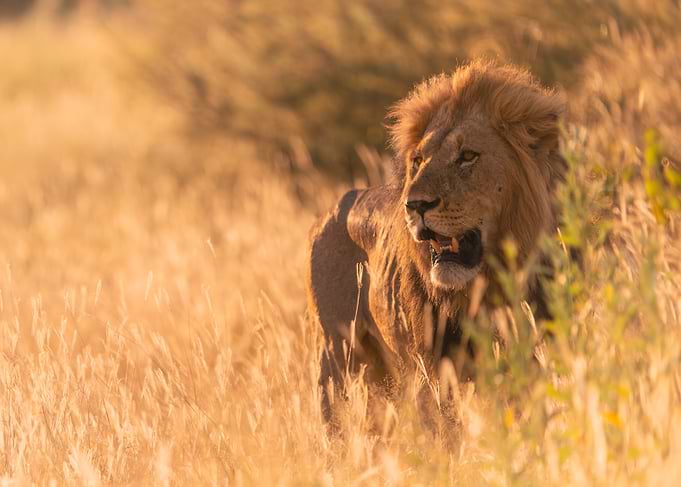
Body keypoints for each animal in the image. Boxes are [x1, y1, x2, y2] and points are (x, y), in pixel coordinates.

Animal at [306, 60, 566, 420]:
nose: (414, 205)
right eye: (418, 161)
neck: (483, 291)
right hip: (337, 354)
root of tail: (333, 207)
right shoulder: (430, 371)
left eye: (467, 156)